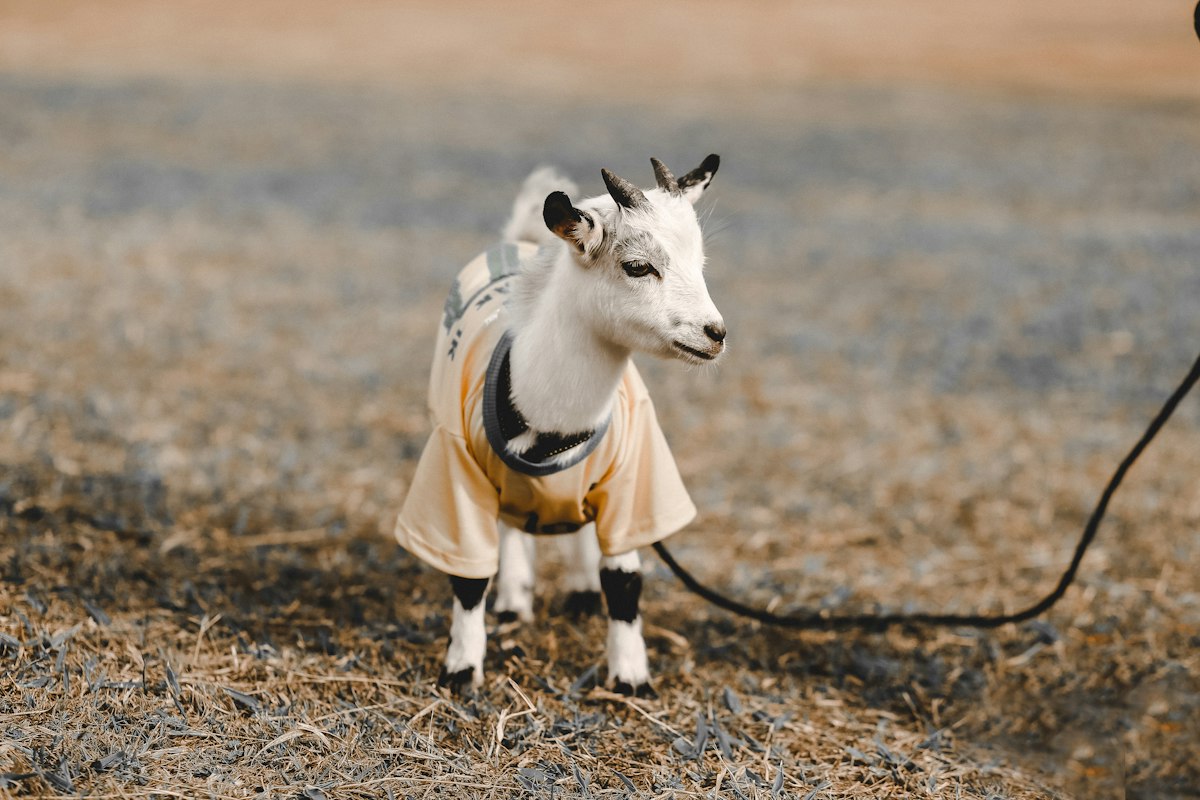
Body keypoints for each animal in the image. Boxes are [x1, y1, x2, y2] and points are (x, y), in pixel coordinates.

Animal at [395, 155, 725, 695]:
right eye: (638, 266)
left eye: (699, 264)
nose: (714, 334)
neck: (551, 419)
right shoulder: (454, 469)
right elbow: (469, 578)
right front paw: (461, 671)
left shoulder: (635, 477)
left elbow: (625, 580)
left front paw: (631, 679)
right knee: (512, 525)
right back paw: (513, 601)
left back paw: (581, 592)